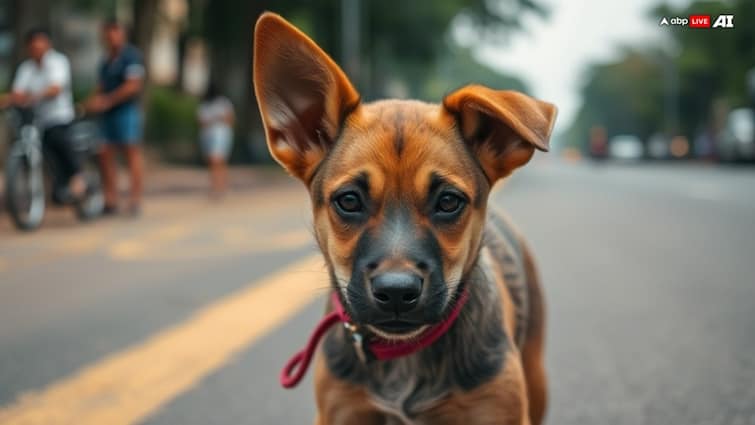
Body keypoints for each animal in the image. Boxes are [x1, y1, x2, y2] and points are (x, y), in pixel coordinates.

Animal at [254, 11, 556, 422]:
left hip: (536, 375)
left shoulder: (498, 409)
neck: (404, 355)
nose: (397, 292)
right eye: (349, 201)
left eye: (449, 202)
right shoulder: (342, 410)